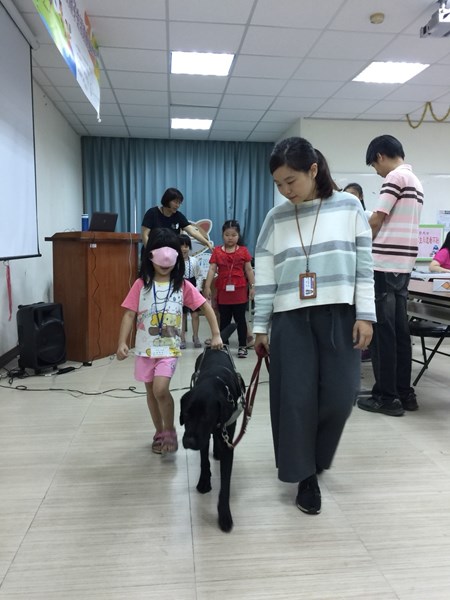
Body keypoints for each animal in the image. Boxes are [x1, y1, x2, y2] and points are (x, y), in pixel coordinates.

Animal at [178, 344, 244, 532]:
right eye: (187, 414)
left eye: (206, 417)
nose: (189, 442)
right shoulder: (203, 438)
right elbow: (204, 461)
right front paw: (204, 482)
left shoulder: (228, 440)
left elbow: (225, 484)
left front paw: (224, 515)